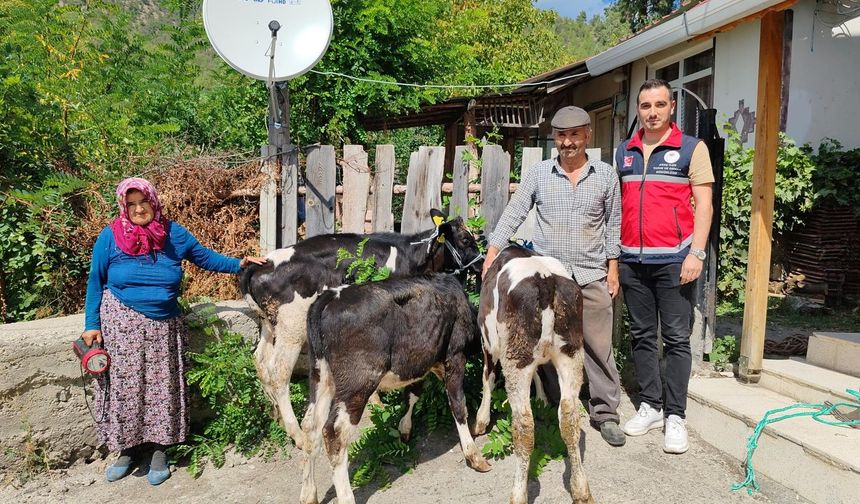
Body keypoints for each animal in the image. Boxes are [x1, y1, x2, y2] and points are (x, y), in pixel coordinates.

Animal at [239, 211, 484, 446]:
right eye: (465, 239)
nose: (482, 263)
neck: (412, 254)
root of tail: (262, 263)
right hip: (292, 328)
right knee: (278, 372)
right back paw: (296, 433)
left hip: (269, 326)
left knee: (260, 361)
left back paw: (277, 417)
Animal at [300, 274, 490, 504]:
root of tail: (331, 295)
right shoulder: (455, 354)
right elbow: (458, 404)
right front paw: (473, 455)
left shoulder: (420, 361)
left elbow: (412, 395)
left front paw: (404, 429)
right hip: (358, 381)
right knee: (335, 432)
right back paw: (345, 497)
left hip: (320, 375)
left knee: (310, 426)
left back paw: (308, 493)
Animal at [474, 246, 596, 502]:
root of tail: (545, 279)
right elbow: (540, 373)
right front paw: (541, 400)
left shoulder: (488, 342)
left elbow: (487, 378)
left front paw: (481, 420)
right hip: (572, 353)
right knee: (569, 416)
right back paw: (581, 490)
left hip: (515, 359)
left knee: (523, 424)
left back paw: (518, 494)